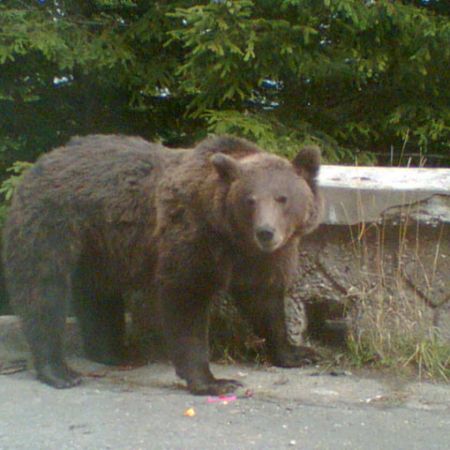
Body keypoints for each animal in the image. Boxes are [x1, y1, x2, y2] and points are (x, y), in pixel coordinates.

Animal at [1, 134, 322, 394]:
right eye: (250, 200)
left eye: (282, 197)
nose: (266, 232)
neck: (230, 235)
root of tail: (37, 164)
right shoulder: (192, 238)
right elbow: (186, 300)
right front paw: (213, 381)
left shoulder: (260, 259)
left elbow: (265, 303)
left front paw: (296, 352)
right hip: (54, 223)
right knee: (44, 290)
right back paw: (59, 370)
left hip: (100, 244)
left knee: (99, 296)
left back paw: (113, 352)